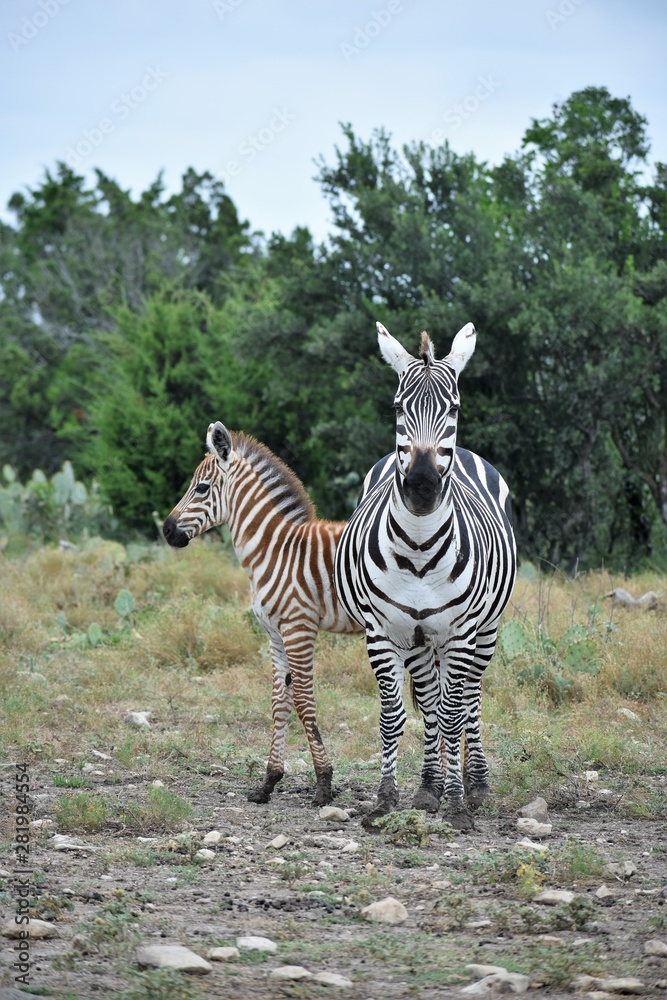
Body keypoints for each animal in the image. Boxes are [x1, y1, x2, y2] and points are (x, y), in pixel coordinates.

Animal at [163, 421, 363, 806]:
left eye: (201, 487)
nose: (166, 531)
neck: (276, 550)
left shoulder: (299, 627)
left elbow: (304, 701)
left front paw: (324, 784)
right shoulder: (275, 633)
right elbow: (279, 702)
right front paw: (269, 782)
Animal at [334, 322, 517, 829]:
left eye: (454, 408)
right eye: (398, 408)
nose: (420, 486)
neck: (417, 548)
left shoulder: (460, 632)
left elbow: (455, 715)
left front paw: (457, 806)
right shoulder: (383, 633)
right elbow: (395, 715)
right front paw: (386, 799)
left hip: (485, 631)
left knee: (469, 699)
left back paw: (476, 785)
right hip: (419, 640)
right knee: (433, 701)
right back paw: (429, 786)